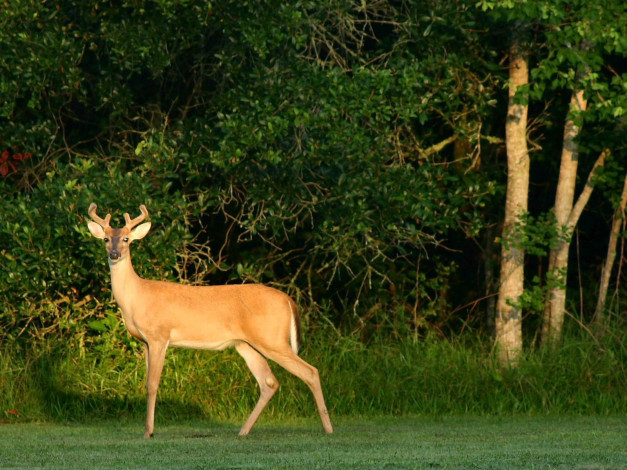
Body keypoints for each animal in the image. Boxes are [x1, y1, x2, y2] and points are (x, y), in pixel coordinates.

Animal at [86, 204, 336, 438]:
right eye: (106, 239)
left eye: (126, 239)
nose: (114, 254)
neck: (136, 297)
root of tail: (288, 300)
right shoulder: (145, 342)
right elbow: (146, 383)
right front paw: (147, 430)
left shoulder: (159, 336)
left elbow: (152, 384)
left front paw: (149, 432)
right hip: (247, 344)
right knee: (269, 382)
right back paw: (243, 431)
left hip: (272, 339)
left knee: (310, 372)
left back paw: (328, 428)